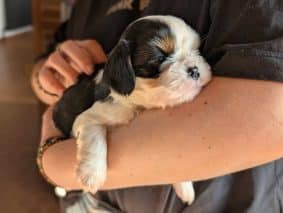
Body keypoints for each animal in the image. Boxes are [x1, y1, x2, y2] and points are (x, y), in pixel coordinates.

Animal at [54, 15, 212, 205]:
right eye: (160, 58)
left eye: (196, 51)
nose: (195, 70)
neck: (139, 103)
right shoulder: (87, 118)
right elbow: (95, 137)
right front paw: (91, 173)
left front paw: (185, 187)